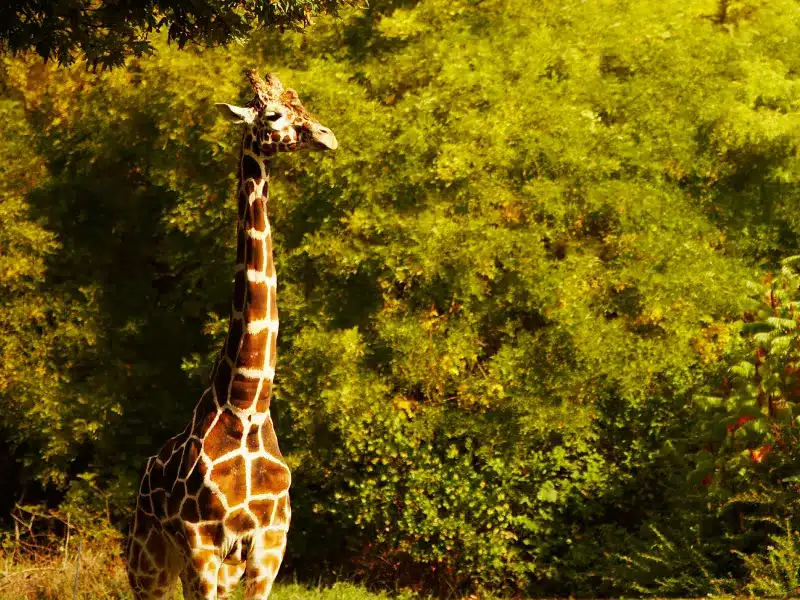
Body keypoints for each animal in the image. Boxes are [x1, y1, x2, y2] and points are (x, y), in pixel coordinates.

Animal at [126, 70, 338, 600]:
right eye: (274, 115)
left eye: (302, 104)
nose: (326, 136)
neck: (247, 406)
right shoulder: (204, 547)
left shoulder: (268, 548)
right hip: (150, 561)